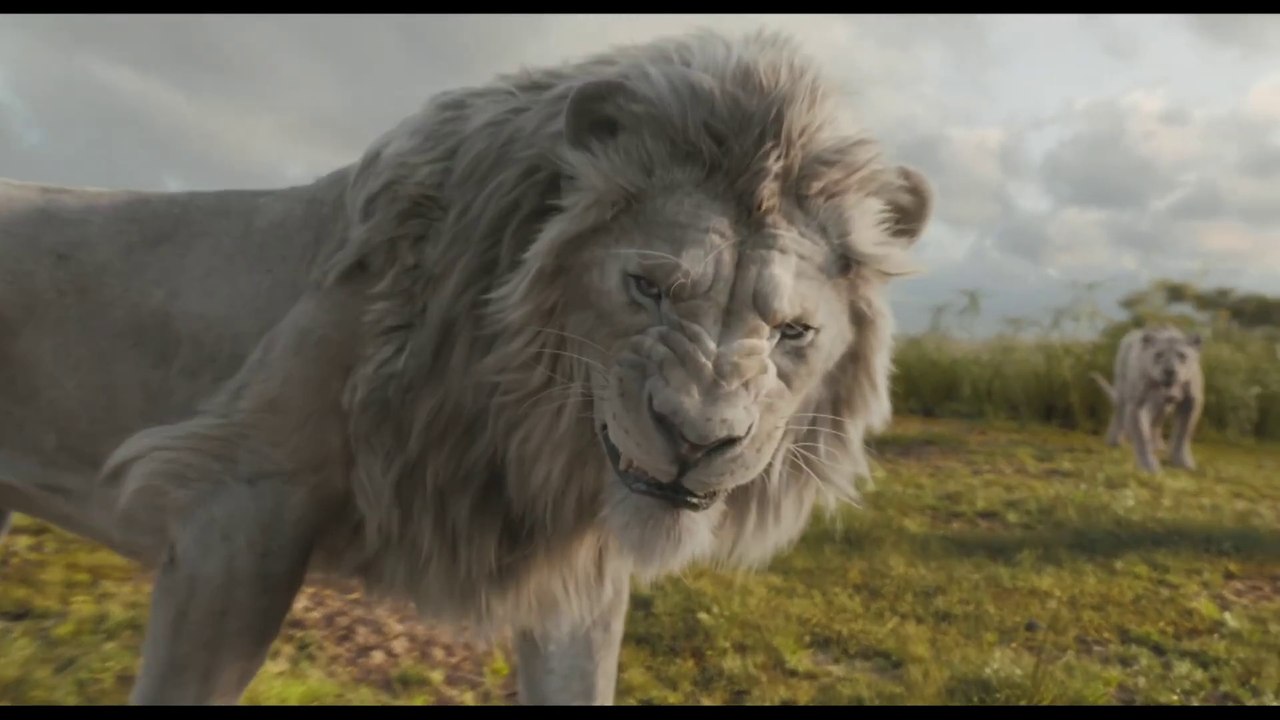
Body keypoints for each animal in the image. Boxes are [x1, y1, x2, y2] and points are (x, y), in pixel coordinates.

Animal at [1091, 326, 1205, 473]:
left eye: (1182, 355)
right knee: (1119, 414)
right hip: (1122, 391)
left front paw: (1183, 463)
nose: (1169, 371)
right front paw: (1149, 467)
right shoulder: (1137, 404)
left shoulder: (1191, 402)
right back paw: (1115, 441)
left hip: (1163, 408)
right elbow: (1141, 435)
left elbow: (1183, 433)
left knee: (1156, 423)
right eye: (1158, 354)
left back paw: (1158, 445)